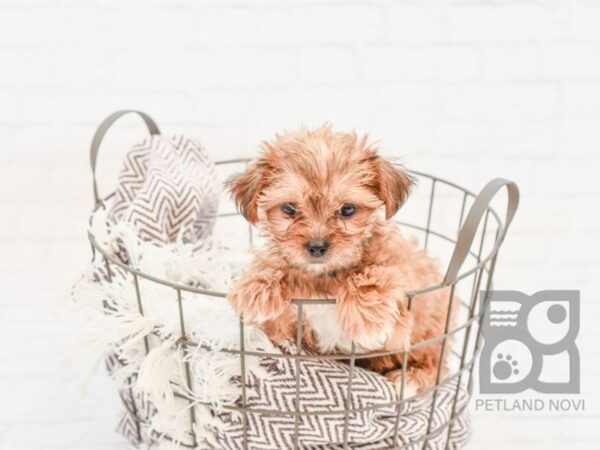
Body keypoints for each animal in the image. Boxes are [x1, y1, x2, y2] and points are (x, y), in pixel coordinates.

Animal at [227, 125, 452, 396]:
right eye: (289, 208)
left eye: (347, 209)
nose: (316, 247)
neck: (325, 277)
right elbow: (273, 268)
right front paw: (257, 288)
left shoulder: (403, 287)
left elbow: (378, 273)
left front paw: (365, 316)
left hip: (429, 340)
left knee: (435, 366)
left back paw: (408, 379)